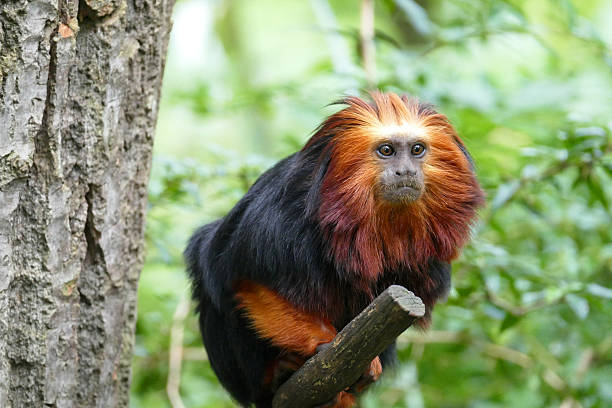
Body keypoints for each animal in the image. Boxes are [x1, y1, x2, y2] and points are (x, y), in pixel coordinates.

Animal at [184, 91, 486, 406]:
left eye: (417, 149)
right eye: (387, 150)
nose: (405, 171)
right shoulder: (280, 218)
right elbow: (249, 279)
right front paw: (325, 341)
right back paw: (275, 374)